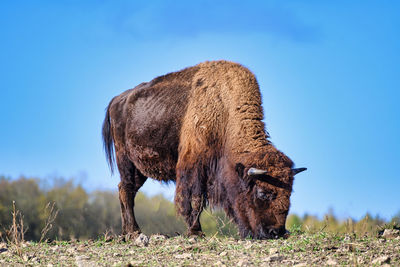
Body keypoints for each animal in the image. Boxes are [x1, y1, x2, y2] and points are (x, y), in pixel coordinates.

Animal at [102, 60, 306, 241]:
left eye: (289, 193)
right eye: (263, 192)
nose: (276, 232)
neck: (225, 112)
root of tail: (116, 100)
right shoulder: (194, 165)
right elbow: (195, 200)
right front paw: (196, 232)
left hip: (140, 169)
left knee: (124, 189)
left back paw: (126, 232)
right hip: (125, 160)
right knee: (127, 190)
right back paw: (133, 232)